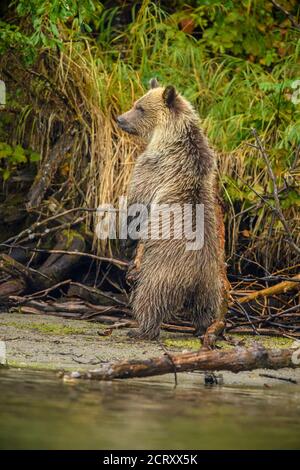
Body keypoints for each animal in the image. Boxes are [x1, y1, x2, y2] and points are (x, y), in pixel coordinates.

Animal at [116, 79, 224, 340]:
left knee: (149, 298)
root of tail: (195, 278)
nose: (119, 119)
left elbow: (137, 203)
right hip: (212, 282)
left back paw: (141, 329)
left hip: (162, 272)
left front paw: (125, 240)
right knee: (206, 307)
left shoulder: (152, 168)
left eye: (140, 107)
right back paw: (204, 328)